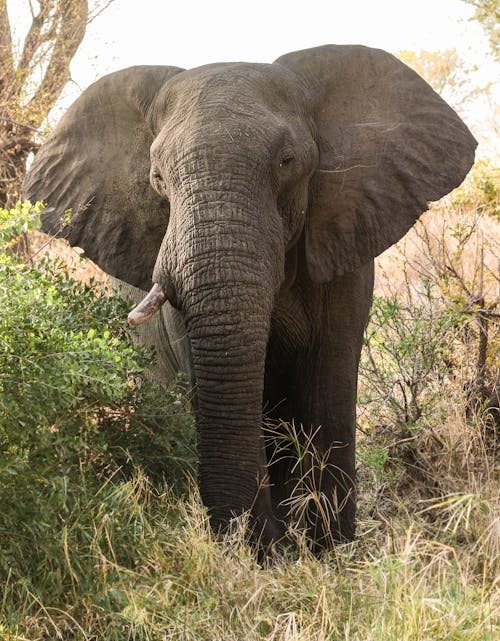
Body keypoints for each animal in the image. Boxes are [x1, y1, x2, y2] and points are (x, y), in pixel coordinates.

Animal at [23, 45, 476, 548]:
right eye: (157, 177)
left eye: (288, 161)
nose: (260, 542)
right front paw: (267, 550)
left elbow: (328, 385)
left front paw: (329, 549)